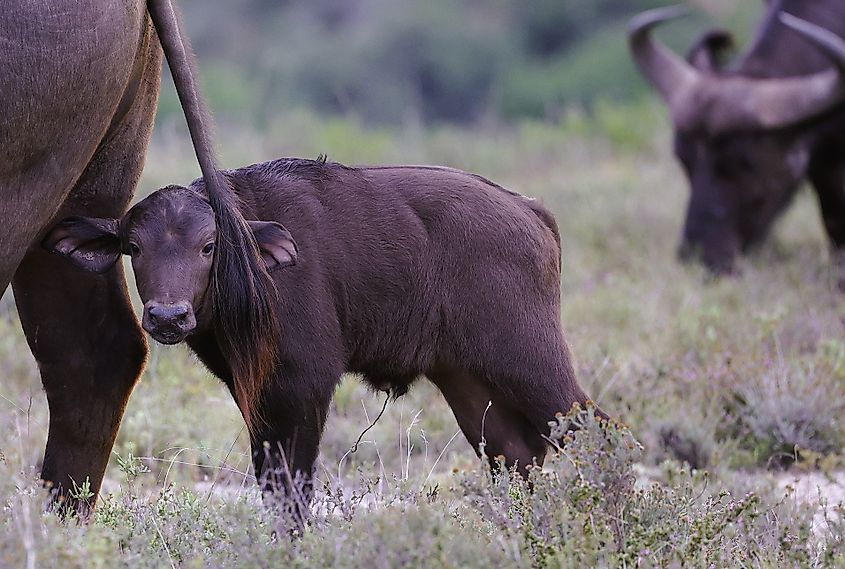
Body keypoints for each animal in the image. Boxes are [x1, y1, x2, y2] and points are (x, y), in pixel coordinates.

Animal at [43, 157, 606, 522]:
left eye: (208, 246)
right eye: (134, 247)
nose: (167, 316)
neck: (256, 264)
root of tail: (531, 212)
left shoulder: (303, 386)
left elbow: (293, 488)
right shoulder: (258, 396)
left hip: (531, 362)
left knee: (593, 428)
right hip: (468, 381)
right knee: (516, 454)